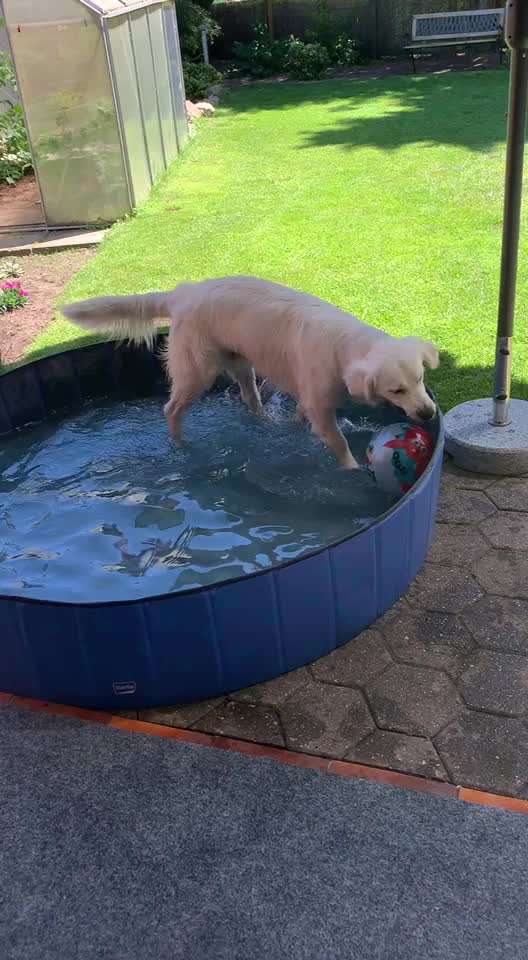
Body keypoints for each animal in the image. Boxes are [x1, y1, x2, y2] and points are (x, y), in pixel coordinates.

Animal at [62, 274, 440, 468]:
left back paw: (263, 423)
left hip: (241, 364)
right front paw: (353, 472)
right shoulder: (320, 406)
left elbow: (301, 419)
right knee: (171, 408)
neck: (345, 345)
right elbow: (339, 443)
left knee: (250, 398)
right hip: (198, 370)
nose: (428, 413)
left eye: (420, 379)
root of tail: (183, 292)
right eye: (396, 390)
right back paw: (180, 444)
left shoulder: (309, 398)